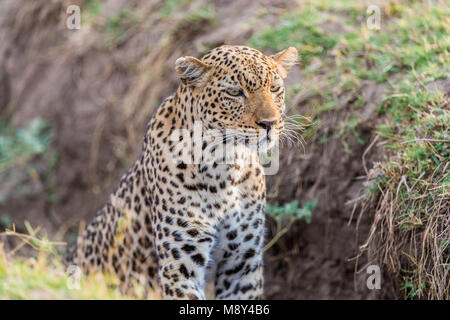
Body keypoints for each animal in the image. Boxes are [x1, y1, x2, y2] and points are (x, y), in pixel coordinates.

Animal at [65, 45, 298, 300]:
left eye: (274, 88)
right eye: (235, 93)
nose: (270, 123)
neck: (226, 166)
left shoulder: (242, 263)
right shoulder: (180, 264)